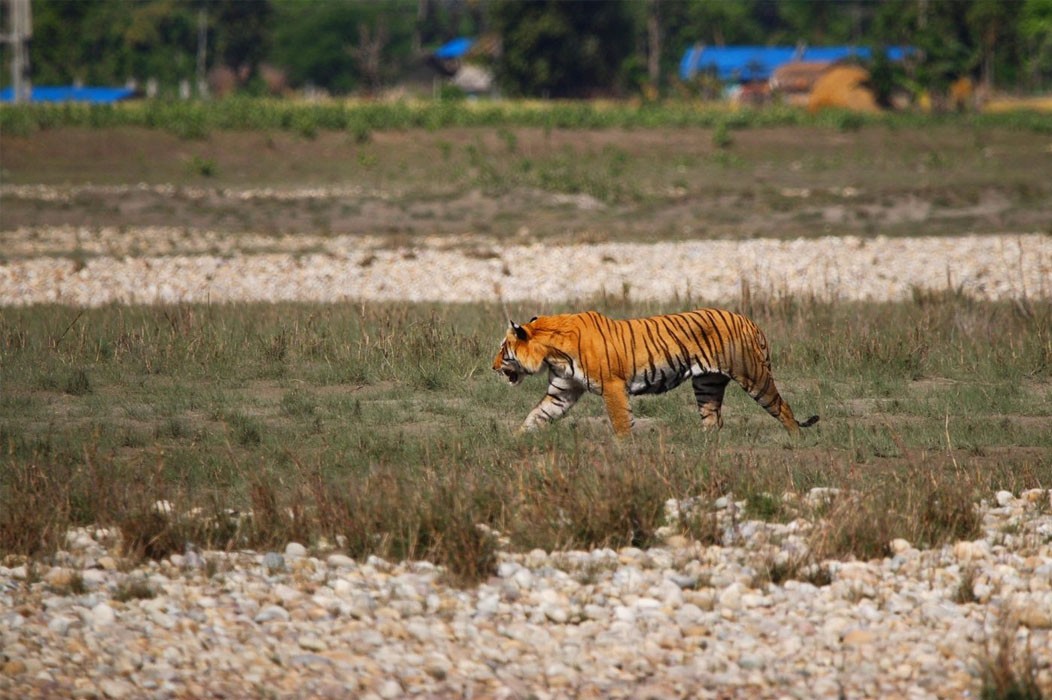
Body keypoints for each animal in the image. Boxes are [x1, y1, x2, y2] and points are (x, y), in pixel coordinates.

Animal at [492, 307, 820, 433]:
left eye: (503, 350)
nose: (492, 367)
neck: (552, 354)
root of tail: (749, 320)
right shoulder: (563, 390)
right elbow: (536, 415)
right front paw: (515, 440)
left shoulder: (613, 386)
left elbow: (621, 422)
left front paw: (624, 451)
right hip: (707, 383)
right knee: (713, 419)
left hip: (752, 373)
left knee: (782, 407)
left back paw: (795, 441)